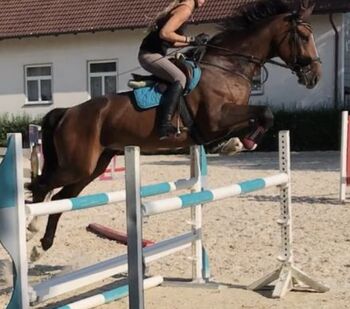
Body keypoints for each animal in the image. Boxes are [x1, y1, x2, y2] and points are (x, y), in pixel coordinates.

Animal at [27, 0, 322, 256]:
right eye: (304, 37)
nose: (314, 77)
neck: (227, 66)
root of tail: (68, 112)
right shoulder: (216, 118)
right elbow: (265, 112)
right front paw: (241, 143)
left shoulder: (225, 119)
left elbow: (260, 116)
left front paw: (237, 143)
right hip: (76, 165)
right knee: (41, 186)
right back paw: (30, 228)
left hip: (93, 166)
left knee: (61, 197)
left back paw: (43, 244)